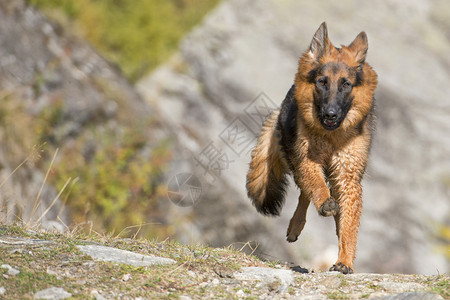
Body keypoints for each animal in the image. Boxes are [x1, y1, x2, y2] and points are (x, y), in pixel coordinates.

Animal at [246, 22, 376, 274]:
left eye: (346, 84)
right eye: (322, 82)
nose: (330, 114)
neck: (331, 137)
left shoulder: (347, 175)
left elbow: (349, 225)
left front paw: (345, 261)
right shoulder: (307, 160)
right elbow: (316, 186)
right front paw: (325, 203)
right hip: (295, 158)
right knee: (306, 192)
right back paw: (297, 225)